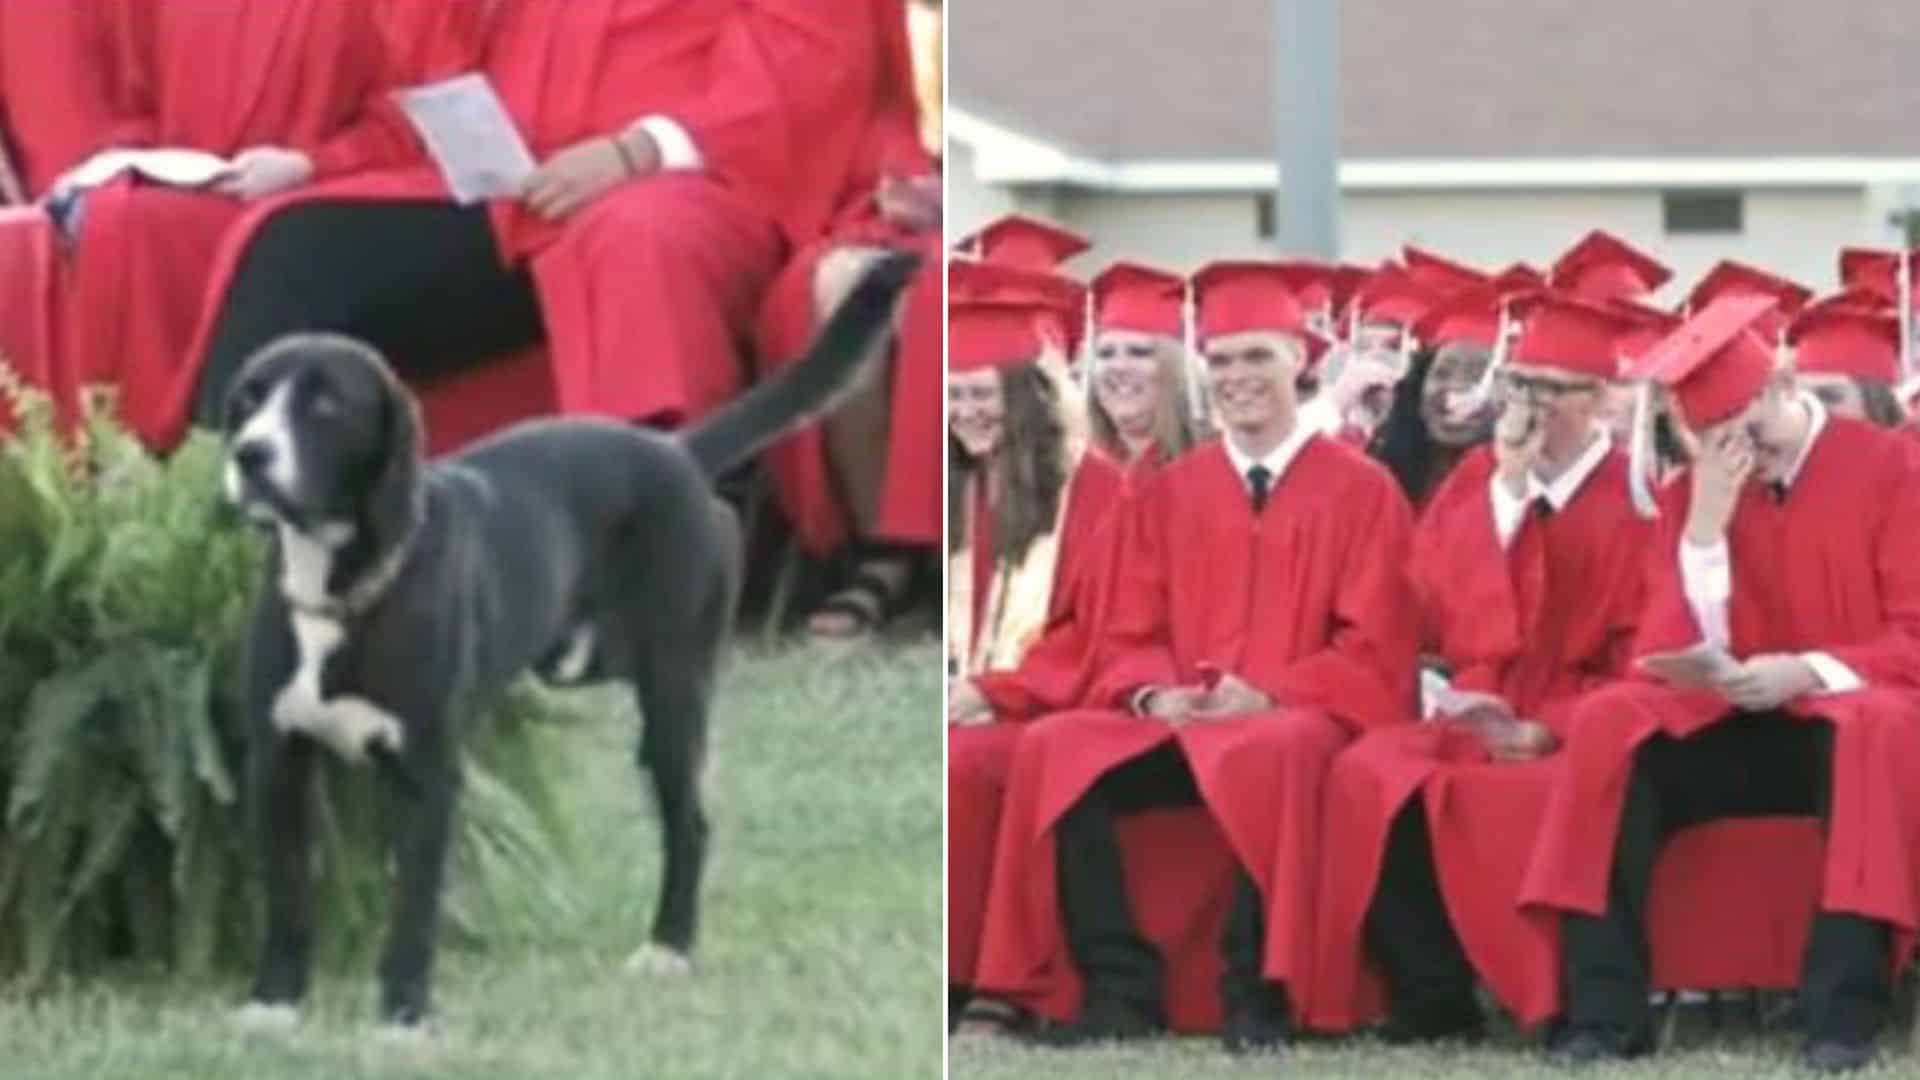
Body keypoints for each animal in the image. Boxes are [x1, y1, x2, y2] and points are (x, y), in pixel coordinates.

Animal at [220, 249, 917, 1022]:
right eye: (246, 401)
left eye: (325, 405)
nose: (250, 455)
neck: (342, 591)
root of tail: (675, 449)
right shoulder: (277, 764)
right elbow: (287, 901)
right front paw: (274, 1004)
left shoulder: (430, 776)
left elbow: (413, 910)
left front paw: (402, 1014)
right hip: (583, 662)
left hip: (674, 690)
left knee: (690, 822)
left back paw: (669, 947)